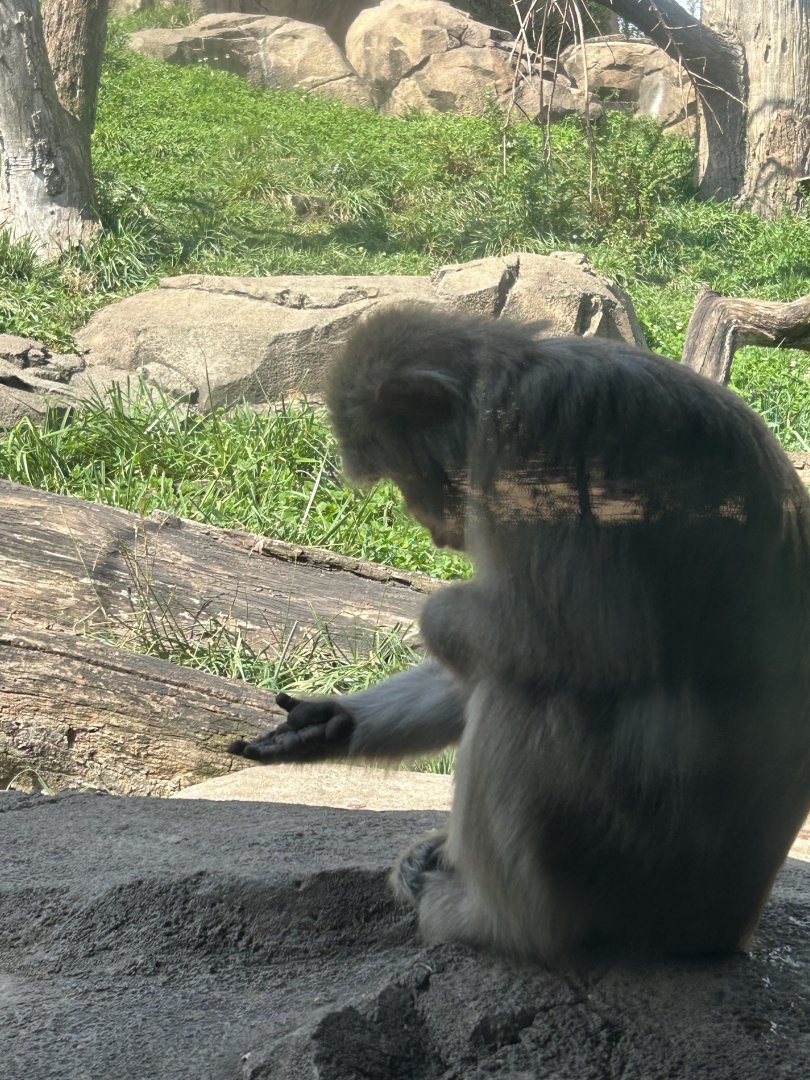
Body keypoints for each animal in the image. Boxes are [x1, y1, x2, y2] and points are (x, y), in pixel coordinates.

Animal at [229, 302, 810, 963]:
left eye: (402, 472)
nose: (428, 525)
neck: (509, 377)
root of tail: (727, 927)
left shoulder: (532, 442)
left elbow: (591, 640)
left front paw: (436, 615)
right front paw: (331, 723)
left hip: (617, 869)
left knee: (531, 687)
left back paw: (498, 921)